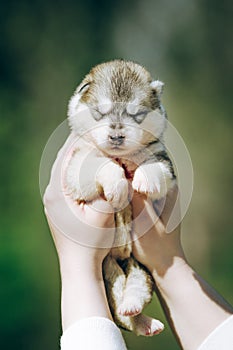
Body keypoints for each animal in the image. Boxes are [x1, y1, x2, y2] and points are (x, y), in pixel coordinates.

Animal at [64, 60, 176, 336]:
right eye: (99, 112)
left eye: (136, 114)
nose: (116, 136)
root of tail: (121, 262)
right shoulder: (76, 168)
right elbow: (102, 165)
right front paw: (117, 185)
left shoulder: (163, 159)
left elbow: (157, 166)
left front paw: (145, 179)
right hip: (108, 274)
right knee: (117, 313)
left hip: (141, 268)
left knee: (135, 293)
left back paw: (140, 315)